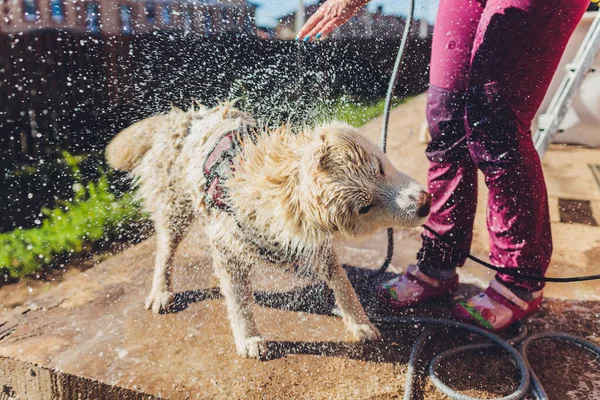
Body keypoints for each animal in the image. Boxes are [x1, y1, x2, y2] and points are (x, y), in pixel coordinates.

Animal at [105, 103, 428, 360]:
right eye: (365, 207)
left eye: (380, 168)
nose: (425, 204)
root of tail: (186, 118)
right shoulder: (228, 248)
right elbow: (239, 302)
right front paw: (248, 338)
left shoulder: (317, 246)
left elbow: (343, 284)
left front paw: (358, 322)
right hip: (176, 207)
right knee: (166, 248)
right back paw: (161, 290)